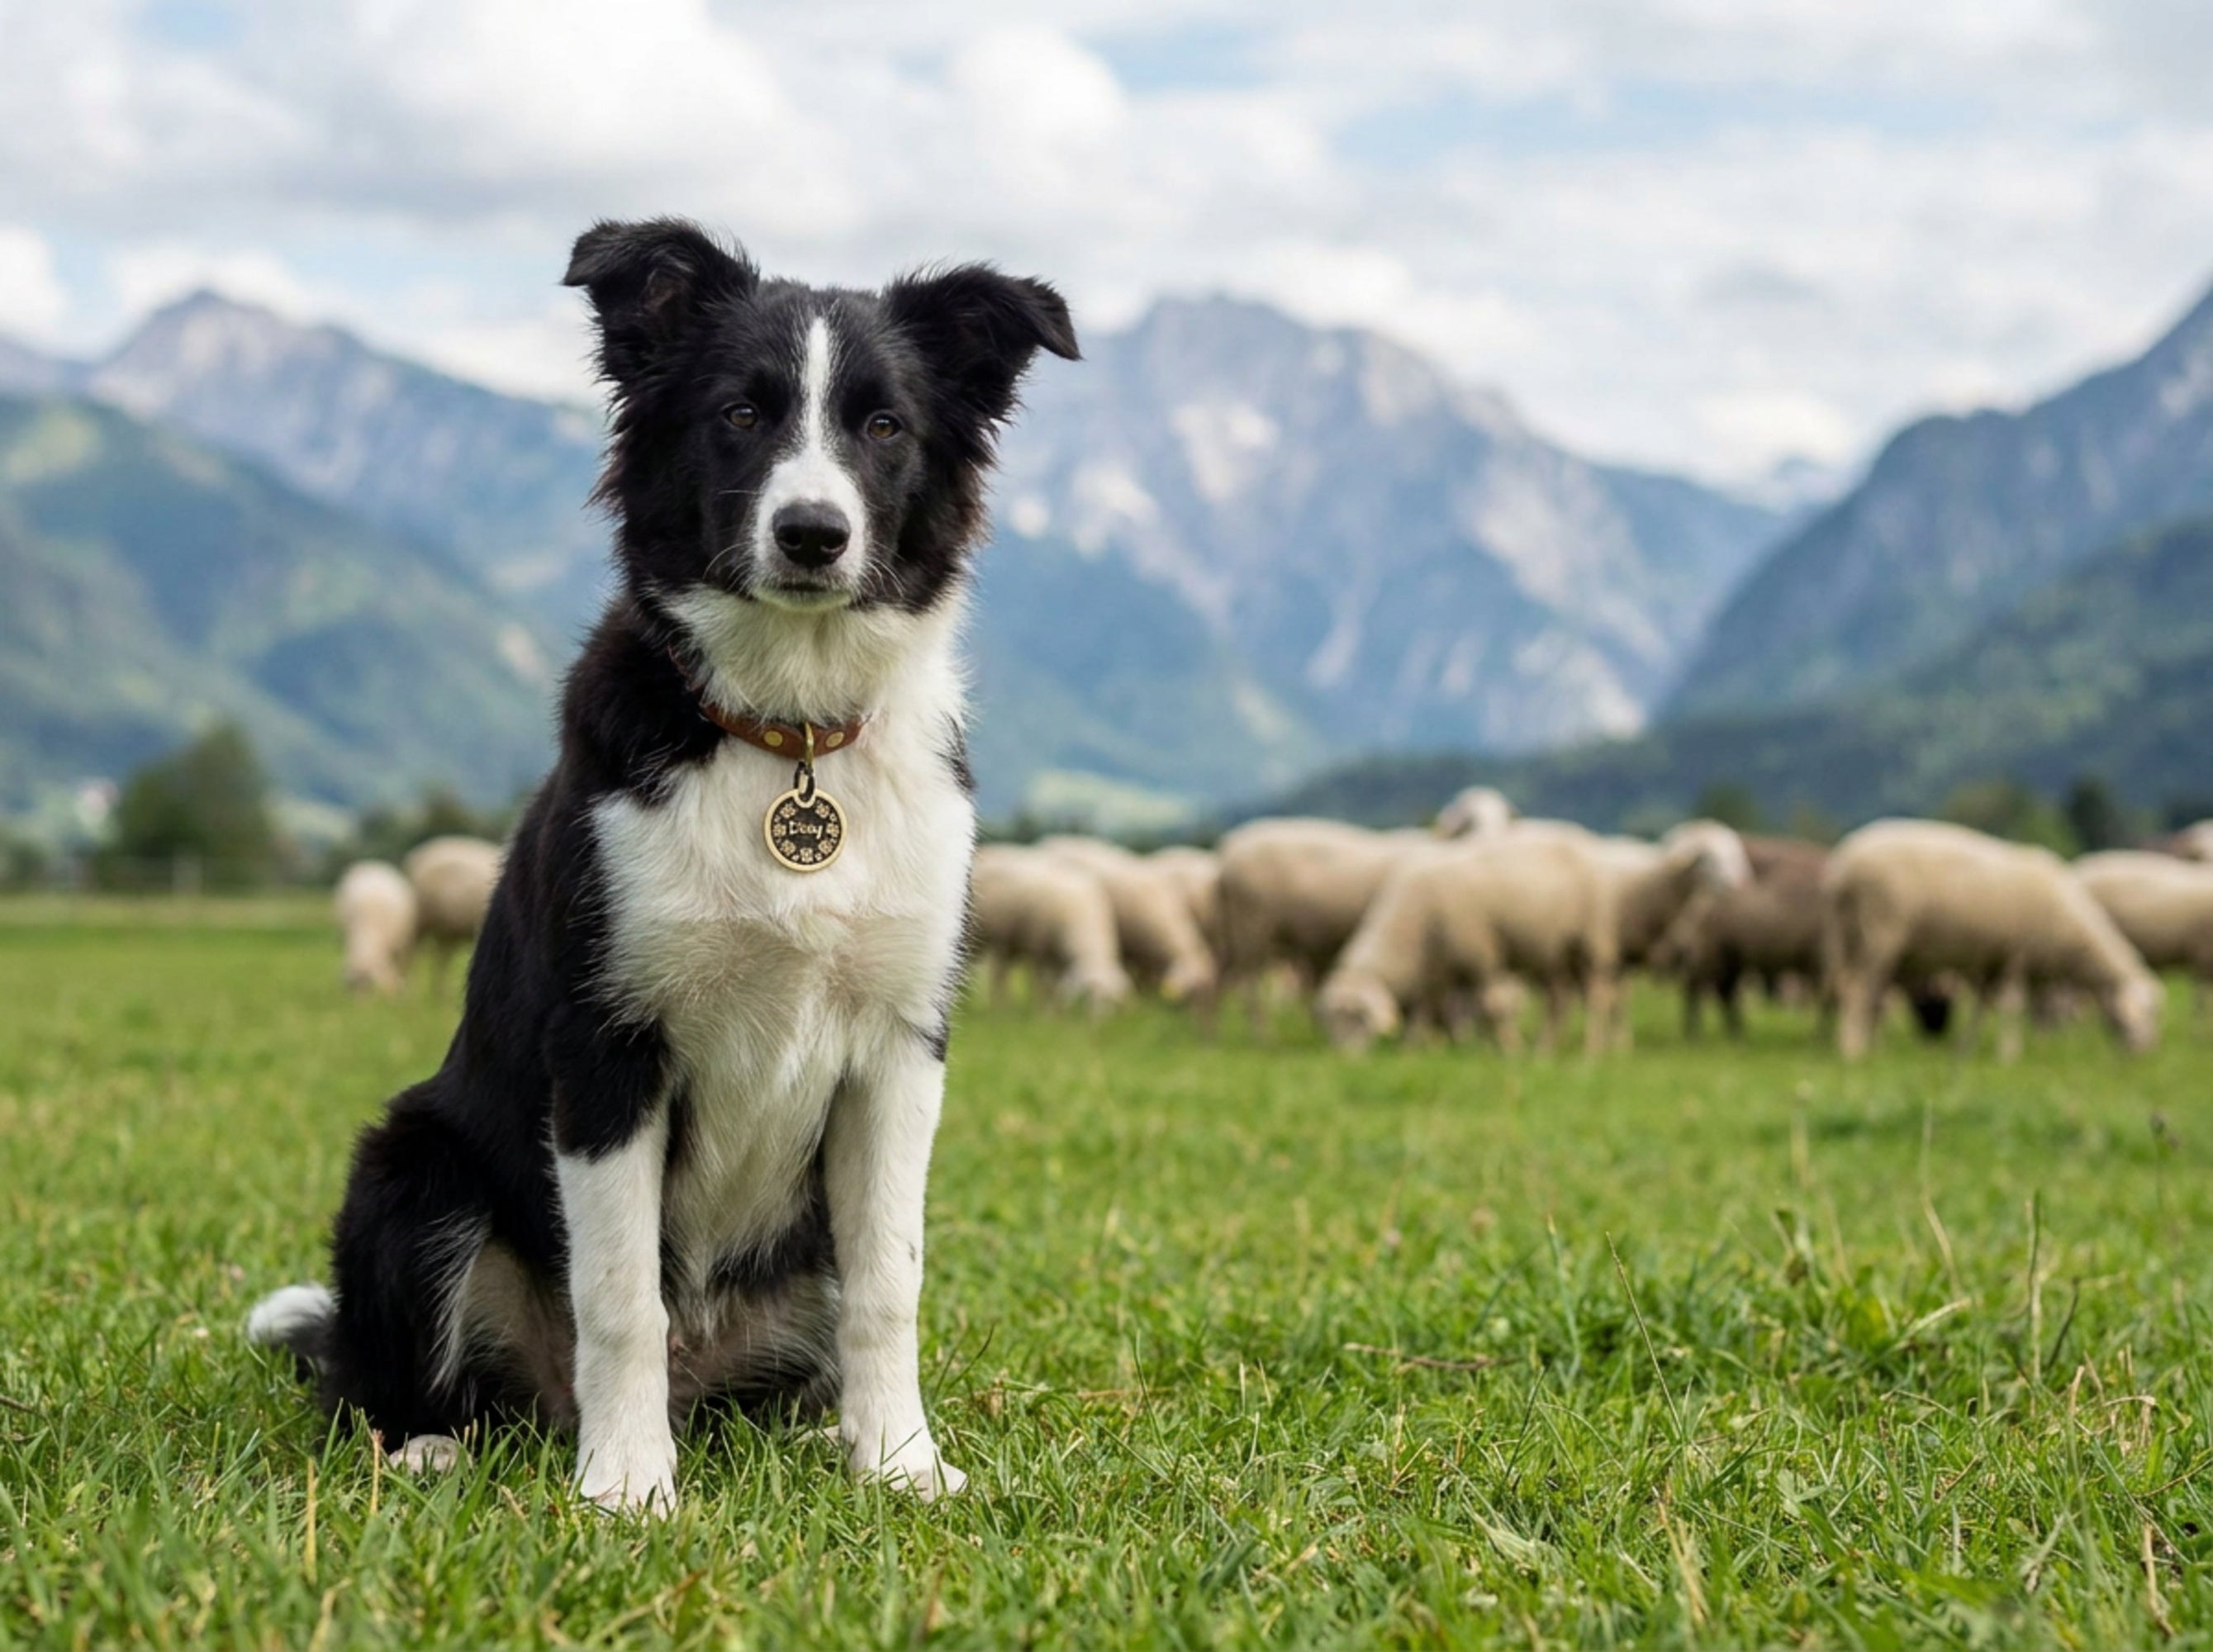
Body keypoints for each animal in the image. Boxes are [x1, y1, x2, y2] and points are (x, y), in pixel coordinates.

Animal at [402, 834, 503, 992]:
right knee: (414, 953)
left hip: (445, 928)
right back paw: (412, 988)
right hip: (422, 918)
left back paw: (439, 989)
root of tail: (415, 857)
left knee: (442, 958)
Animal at [969, 844, 1131, 1011]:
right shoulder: (1039, 950)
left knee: (1000, 973)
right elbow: (1042, 984)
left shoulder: (1058, 957)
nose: (1098, 1018)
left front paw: (1058, 1010)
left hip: (1009, 941)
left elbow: (1056, 988)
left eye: (1111, 1000)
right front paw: (1041, 1010)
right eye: (1087, 995)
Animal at [1655, 836, 1829, 1038]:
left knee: (1723, 992)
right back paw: (1697, 1032)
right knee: (1696, 989)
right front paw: (1823, 1034)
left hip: (1728, 958)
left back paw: (1734, 1031)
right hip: (1711, 955)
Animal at [1823, 820, 2160, 1061]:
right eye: (2145, 1013)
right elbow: (2013, 1005)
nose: (2143, 1053)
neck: (2067, 925)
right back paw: (1852, 1050)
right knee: (1857, 990)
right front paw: (2009, 1054)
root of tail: (1843, 869)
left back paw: (1868, 1045)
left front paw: (1966, 1048)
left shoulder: (1993, 961)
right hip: (1877, 933)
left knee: (1860, 991)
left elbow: (1986, 1008)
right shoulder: (2016, 955)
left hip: (1852, 936)